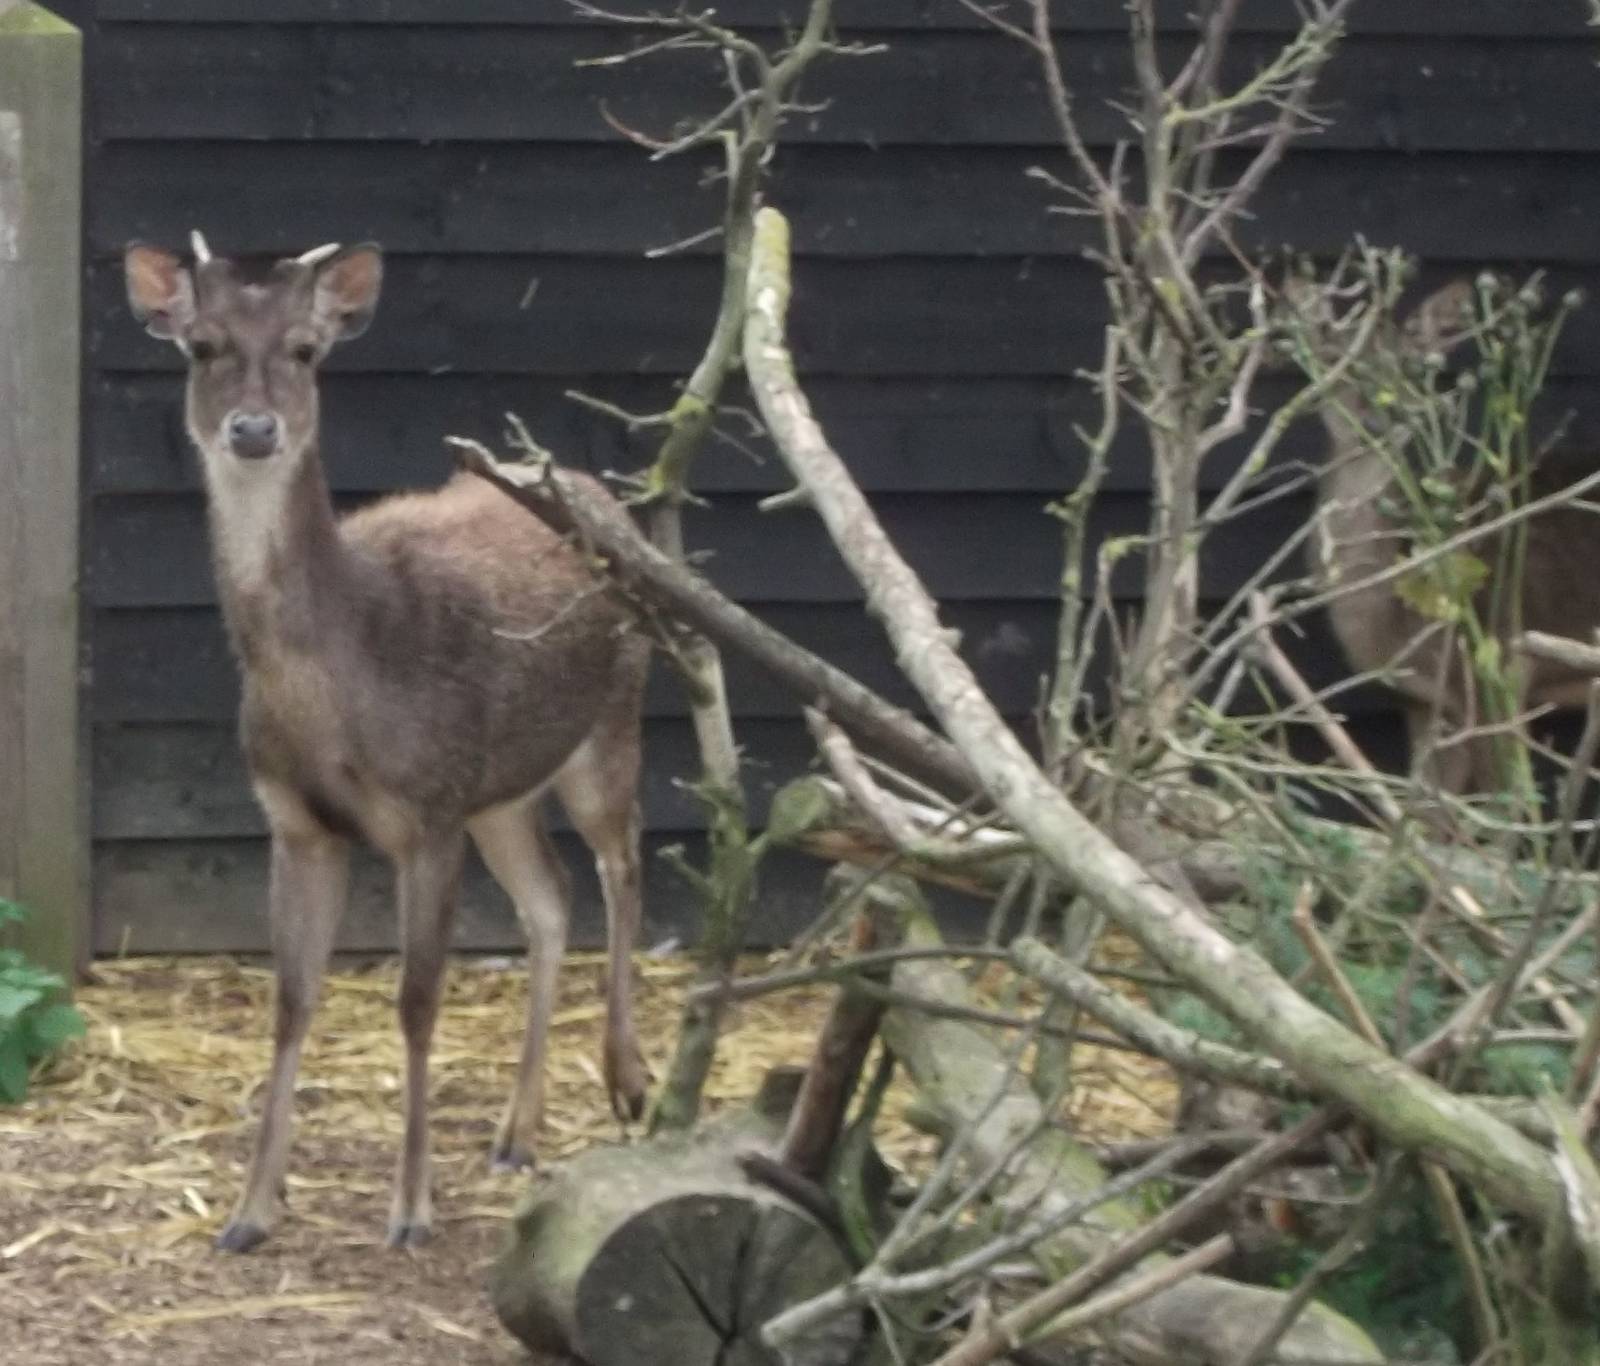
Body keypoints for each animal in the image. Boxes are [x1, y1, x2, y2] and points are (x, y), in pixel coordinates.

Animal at [124, 233, 653, 1253]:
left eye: (305, 350)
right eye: (203, 346)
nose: (254, 429)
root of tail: (594, 492)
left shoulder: (428, 812)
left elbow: (415, 1003)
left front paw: (411, 1211)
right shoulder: (297, 822)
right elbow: (292, 1003)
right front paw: (250, 1212)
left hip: (611, 723)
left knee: (621, 867)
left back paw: (630, 1080)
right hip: (502, 791)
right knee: (550, 898)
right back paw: (514, 1134)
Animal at [1303, 277, 1600, 800]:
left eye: (1412, 363)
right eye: (1338, 361)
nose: (1377, 418)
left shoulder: (1498, 670)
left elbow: (1508, 805)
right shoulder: (1426, 703)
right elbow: (1428, 811)